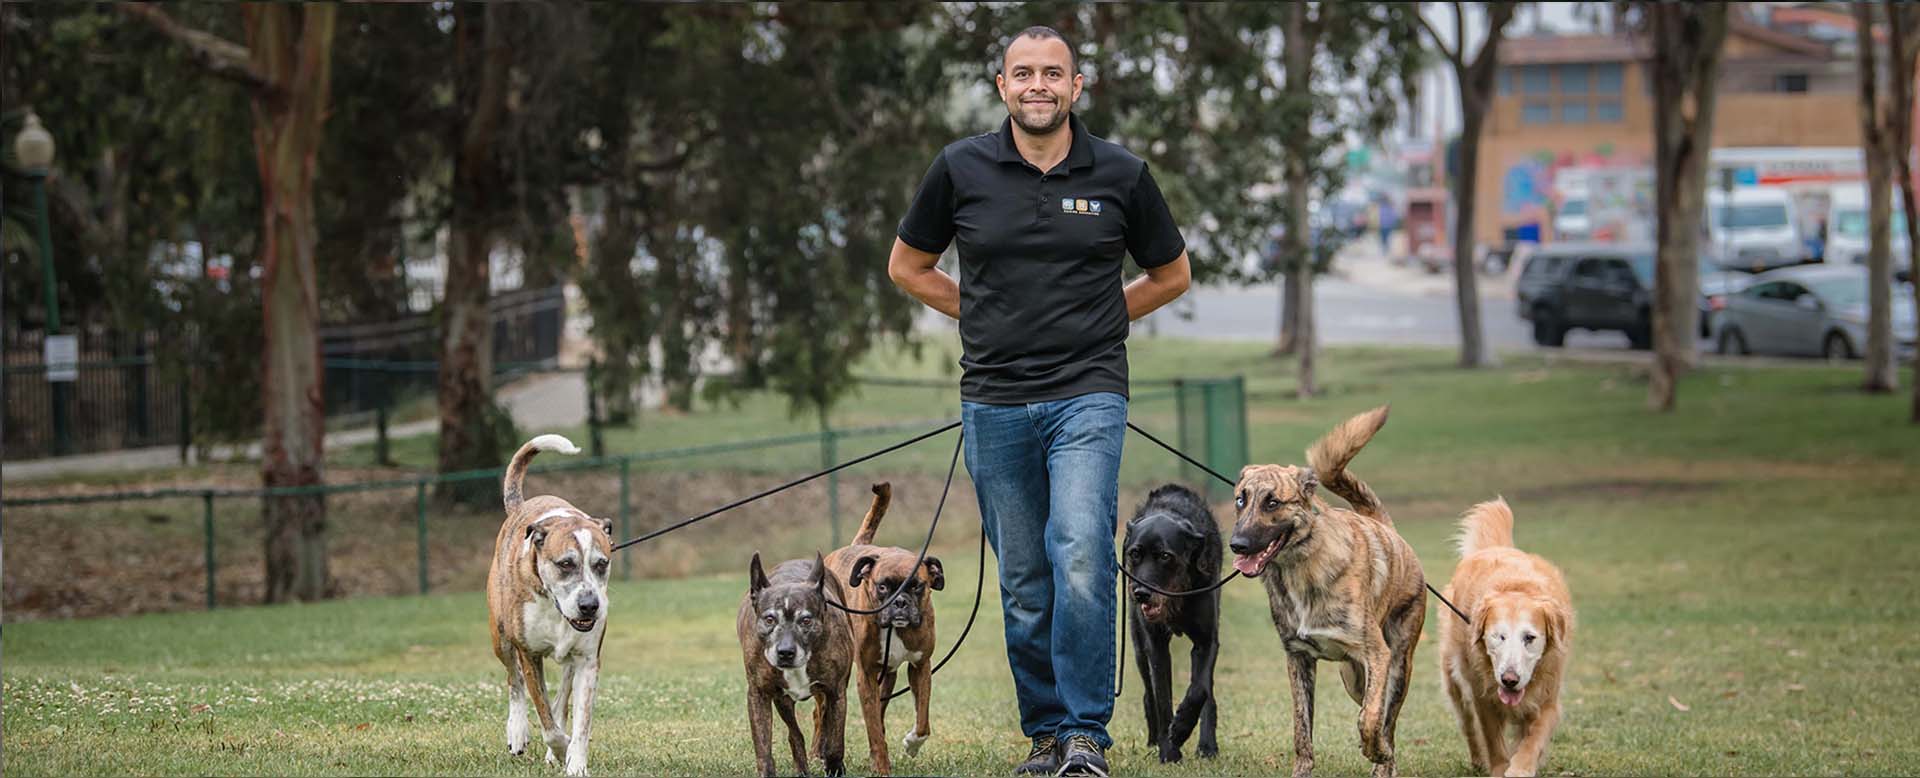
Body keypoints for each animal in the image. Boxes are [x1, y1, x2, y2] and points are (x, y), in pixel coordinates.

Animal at [487, 434, 614, 772]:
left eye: (601, 563)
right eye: (565, 564)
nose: (590, 605)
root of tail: (521, 506)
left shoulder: (587, 659)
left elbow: (580, 719)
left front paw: (575, 762)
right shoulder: (529, 654)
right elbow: (544, 716)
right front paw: (559, 748)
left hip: (570, 658)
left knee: (561, 698)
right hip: (500, 635)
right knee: (514, 680)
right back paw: (517, 731)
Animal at [1121, 482, 1221, 760]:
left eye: (1165, 556)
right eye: (1134, 553)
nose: (1141, 593)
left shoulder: (1206, 642)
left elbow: (1199, 690)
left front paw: (1182, 728)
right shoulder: (1155, 646)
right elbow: (1162, 698)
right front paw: (1168, 750)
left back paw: (1207, 746)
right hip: (1138, 647)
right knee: (1149, 694)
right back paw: (1154, 739)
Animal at [1228, 405, 1428, 776]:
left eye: (1272, 502)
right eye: (1240, 500)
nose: (1237, 545)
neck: (1300, 569)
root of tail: (1384, 526)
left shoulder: (1377, 656)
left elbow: (1370, 721)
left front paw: (1376, 751)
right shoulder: (1298, 659)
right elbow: (1302, 730)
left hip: (1397, 666)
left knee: (1388, 721)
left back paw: (1384, 762)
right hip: (1353, 678)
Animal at [1443, 495, 1574, 776]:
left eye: (1530, 638)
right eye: (1498, 637)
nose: (1509, 680)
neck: (1516, 586)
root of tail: (1496, 548)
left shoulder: (1549, 698)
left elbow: (1534, 737)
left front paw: (1521, 767)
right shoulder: (1483, 697)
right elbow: (1493, 739)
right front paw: (1500, 767)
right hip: (1454, 678)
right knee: (1468, 725)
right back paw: (1477, 760)